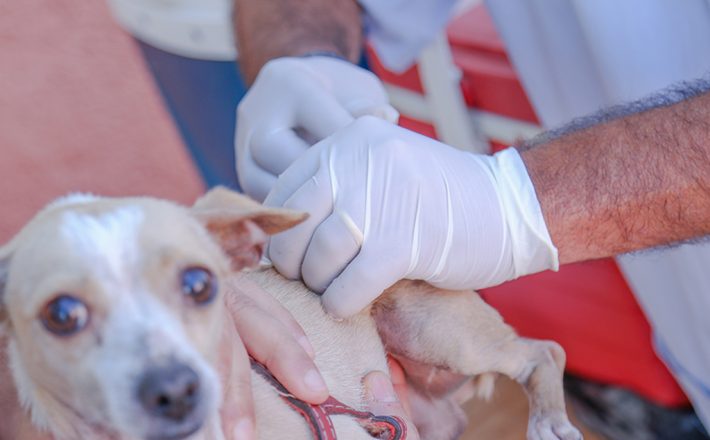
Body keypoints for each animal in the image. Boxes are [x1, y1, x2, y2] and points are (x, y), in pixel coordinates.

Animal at [0, 187, 584, 438]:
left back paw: (550, 421)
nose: (175, 389)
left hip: (440, 334)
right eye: (61, 315)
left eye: (199, 284)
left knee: (545, 352)